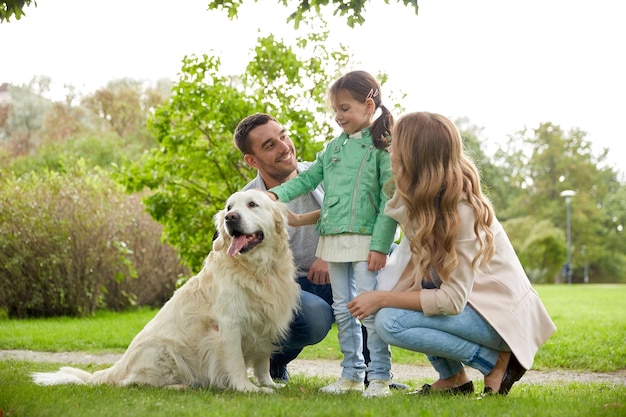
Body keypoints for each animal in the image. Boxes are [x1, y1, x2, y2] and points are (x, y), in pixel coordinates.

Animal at [31, 190, 300, 392]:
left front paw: (269, 384)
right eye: (229, 207)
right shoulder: (229, 325)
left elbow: (263, 361)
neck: (258, 269)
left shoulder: (264, 323)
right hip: (165, 351)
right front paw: (248, 388)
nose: (230, 218)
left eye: (252, 204)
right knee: (135, 382)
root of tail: (118, 366)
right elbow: (235, 362)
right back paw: (181, 386)